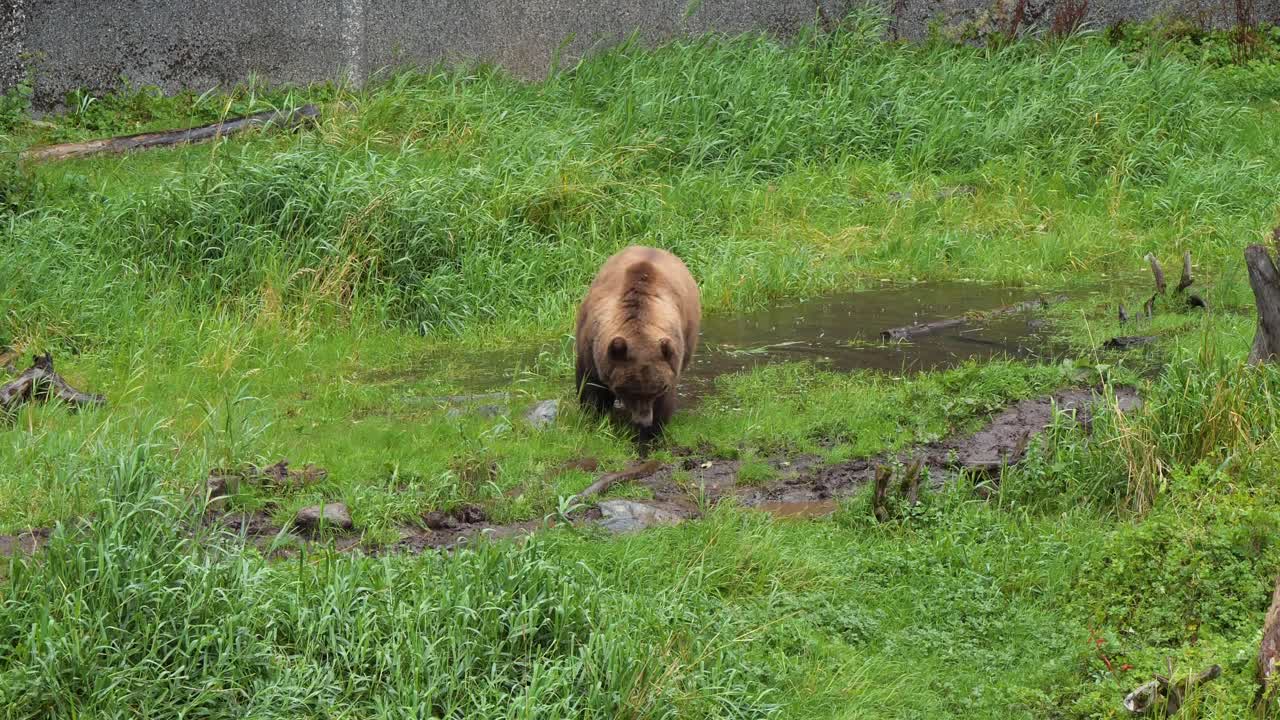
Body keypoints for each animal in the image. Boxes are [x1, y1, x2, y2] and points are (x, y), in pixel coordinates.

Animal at [574, 245, 701, 439]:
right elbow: (591, 386)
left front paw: (652, 430)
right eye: (628, 390)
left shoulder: (671, 361)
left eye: (658, 389)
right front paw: (593, 416)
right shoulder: (591, 345)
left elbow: (664, 402)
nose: (644, 421)